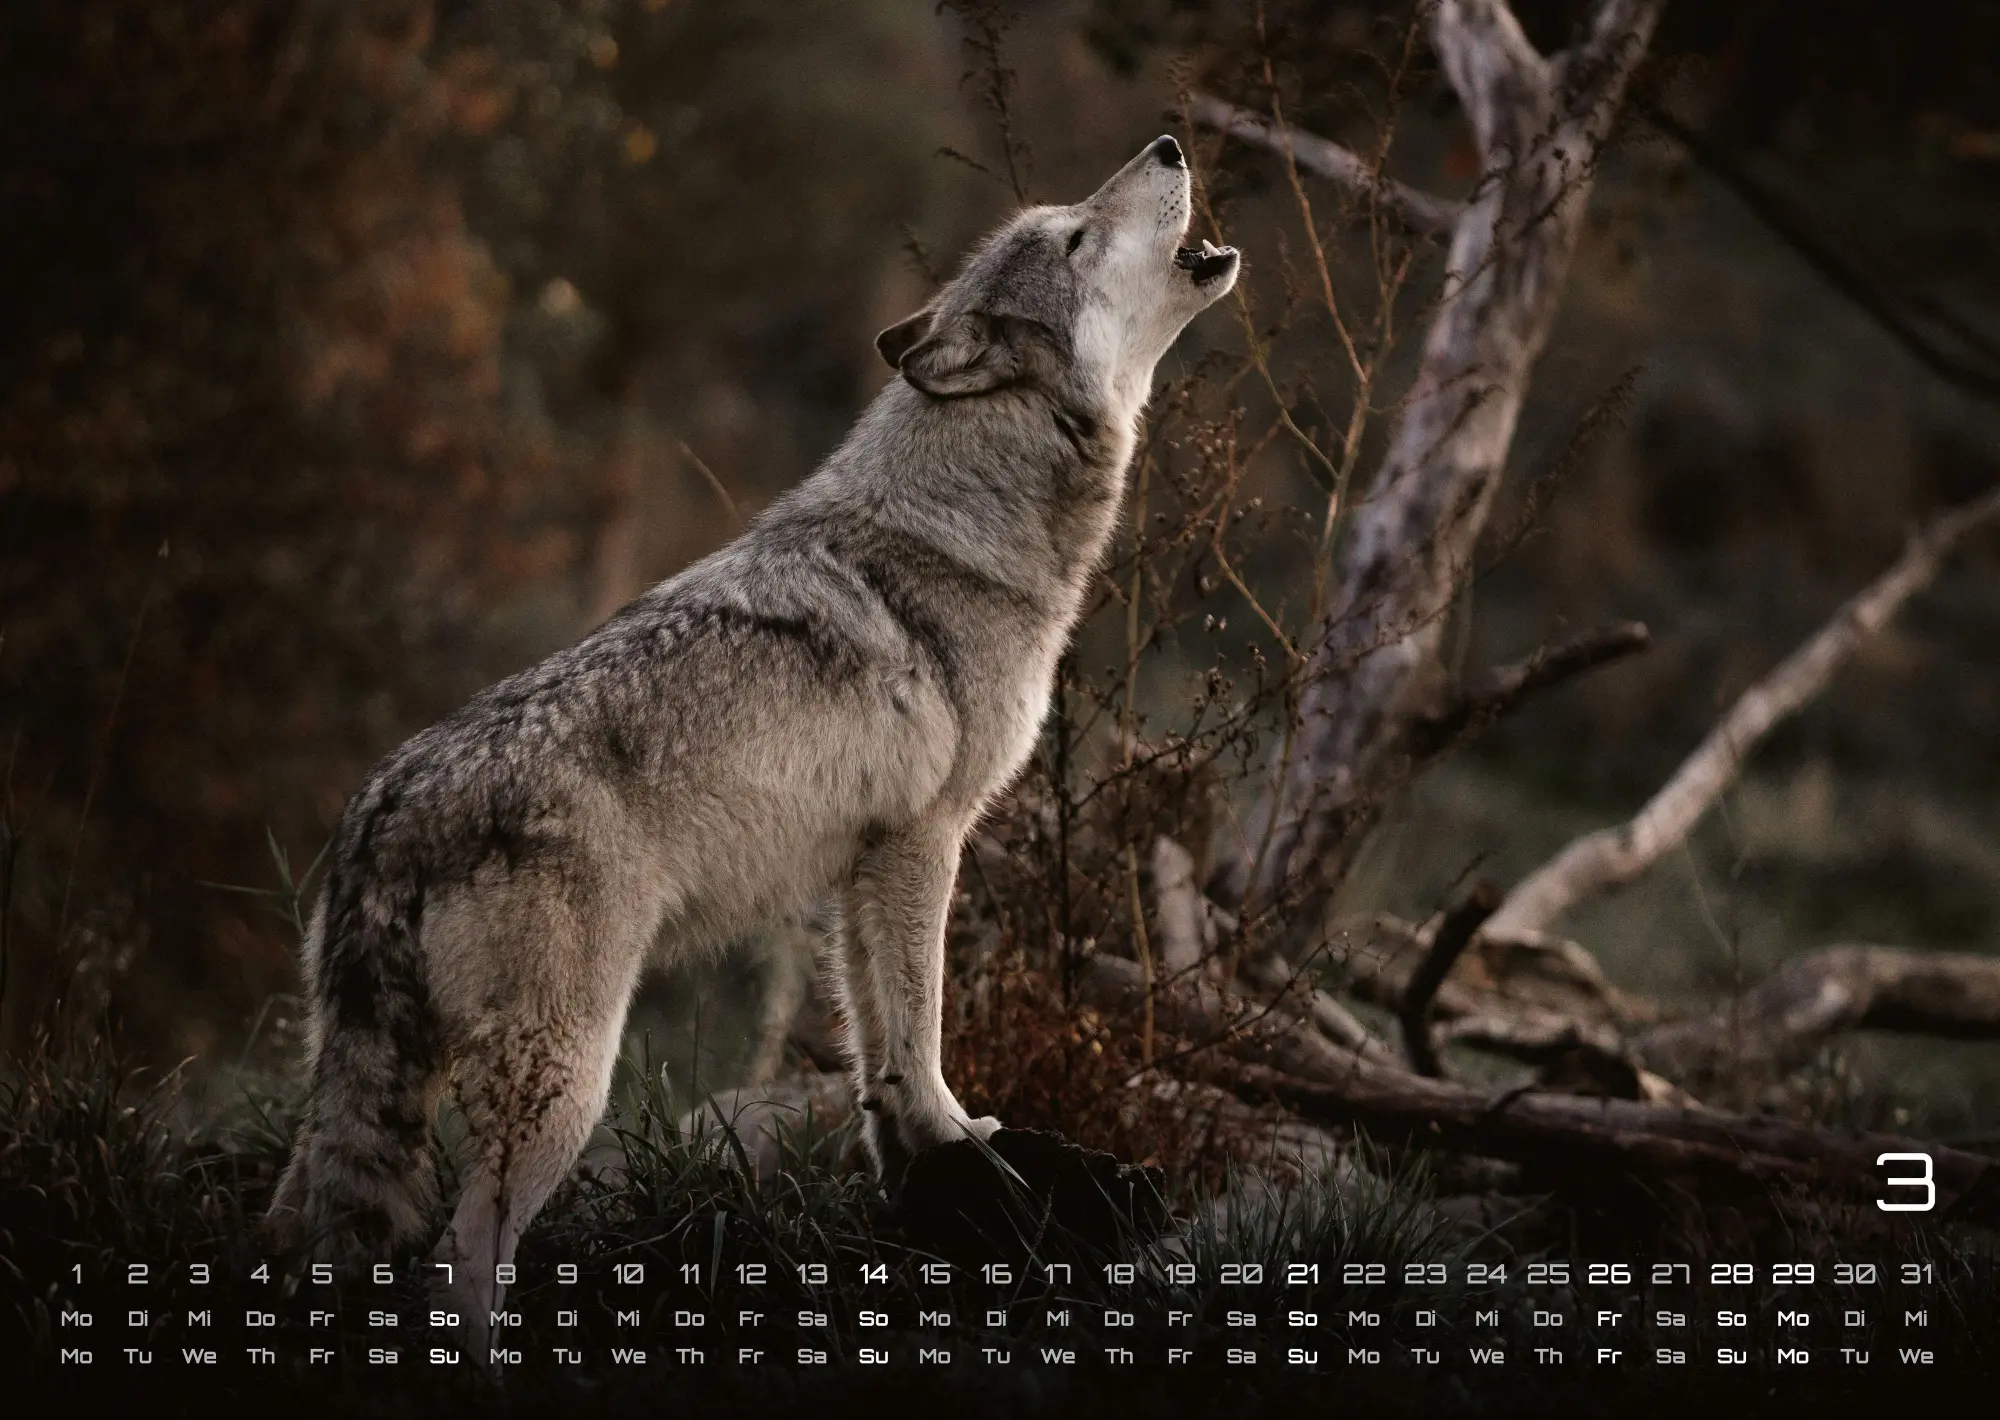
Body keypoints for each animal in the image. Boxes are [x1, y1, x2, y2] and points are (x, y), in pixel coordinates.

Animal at [266, 135, 1239, 1336]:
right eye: (1074, 235)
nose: (1168, 143)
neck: (968, 526)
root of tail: (383, 812)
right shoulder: (927, 839)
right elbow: (923, 1024)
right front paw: (962, 1136)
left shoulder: (862, 866)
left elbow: (877, 1044)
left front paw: (924, 1154)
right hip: (564, 1088)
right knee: (460, 1262)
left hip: (356, 1095)